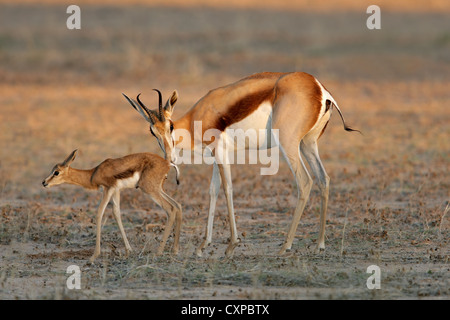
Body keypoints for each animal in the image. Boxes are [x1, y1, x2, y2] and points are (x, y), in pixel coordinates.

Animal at [42, 149, 182, 262]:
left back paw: (158, 252)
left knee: (170, 209)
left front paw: (94, 256)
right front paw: (128, 250)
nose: (44, 182)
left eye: (56, 172)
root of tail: (167, 163)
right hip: (158, 189)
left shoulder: (108, 188)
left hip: (149, 189)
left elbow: (99, 213)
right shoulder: (116, 190)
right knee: (177, 205)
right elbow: (116, 213)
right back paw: (174, 250)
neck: (94, 173)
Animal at [121, 71, 356, 256]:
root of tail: (319, 89)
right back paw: (319, 245)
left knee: (305, 182)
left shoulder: (220, 152)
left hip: (289, 144)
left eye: (170, 126)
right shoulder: (216, 155)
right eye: (152, 131)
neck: (199, 116)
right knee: (323, 179)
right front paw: (203, 246)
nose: (170, 158)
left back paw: (284, 247)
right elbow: (213, 190)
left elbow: (228, 189)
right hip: (308, 144)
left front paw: (231, 245)